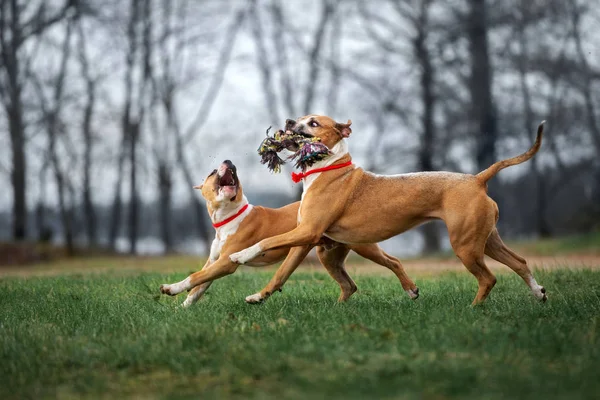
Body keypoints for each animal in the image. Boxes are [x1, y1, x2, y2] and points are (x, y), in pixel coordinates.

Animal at [161, 159, 422, 306]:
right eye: (212, 172)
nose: (229, 162)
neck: (231, 216)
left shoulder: (227, 262)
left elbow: (196, 277)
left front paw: (170, 289)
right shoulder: (215, 261)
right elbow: (200, 285)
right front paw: (183, 306)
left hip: (362, 245)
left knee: (393, 261)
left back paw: (411, 290)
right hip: (328, 255)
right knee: (349, 285)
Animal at [230, 115, 548, 306]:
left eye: (314, 123)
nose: (289, 120)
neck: (327, 166)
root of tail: (477, 179)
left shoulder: (306, 232)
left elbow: (266, 241)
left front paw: (240, 255)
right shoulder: (304, 240)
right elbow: (281, 274)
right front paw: (258, 296)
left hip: (466, 245)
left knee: (488, 278)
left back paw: (473, 309)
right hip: (487, 239)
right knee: (519, 262)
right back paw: (539, 293)